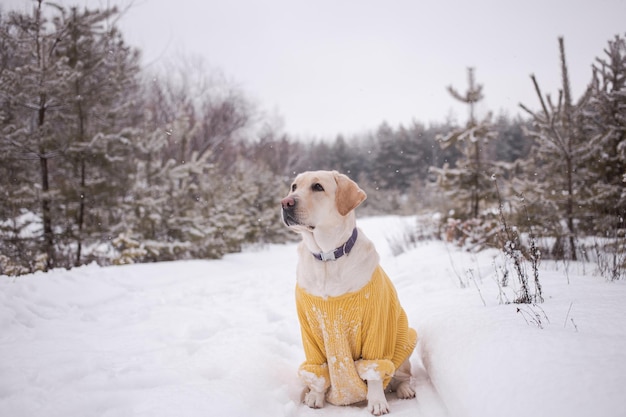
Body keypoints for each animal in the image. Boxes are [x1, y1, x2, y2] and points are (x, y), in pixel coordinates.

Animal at [280, 170, 416, 416]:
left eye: (318, 187)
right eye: (294, 186)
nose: (285, 202)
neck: (327, 257)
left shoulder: (376, 325)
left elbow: (374, 372)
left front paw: (376, 402)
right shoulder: (310, 328)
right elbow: (318, 371)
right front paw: (315, 396)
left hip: (405, 344)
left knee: (400, 376)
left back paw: (404, 390)